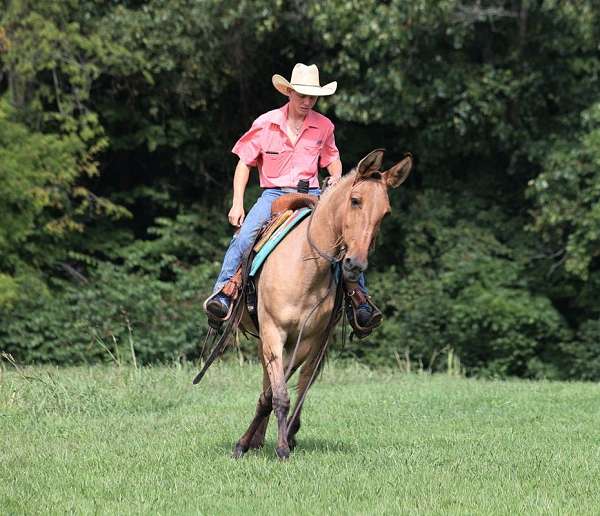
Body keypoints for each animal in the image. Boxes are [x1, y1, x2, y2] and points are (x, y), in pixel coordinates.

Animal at [231, 149, 412, 460]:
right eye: (355, 200)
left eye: (385, 212)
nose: (355, 264)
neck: (304, 269)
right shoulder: (273, 331)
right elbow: (277, 392)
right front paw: (257, 445)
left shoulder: (309, 340)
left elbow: (286, 389)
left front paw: (279, 441)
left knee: (300, 382)